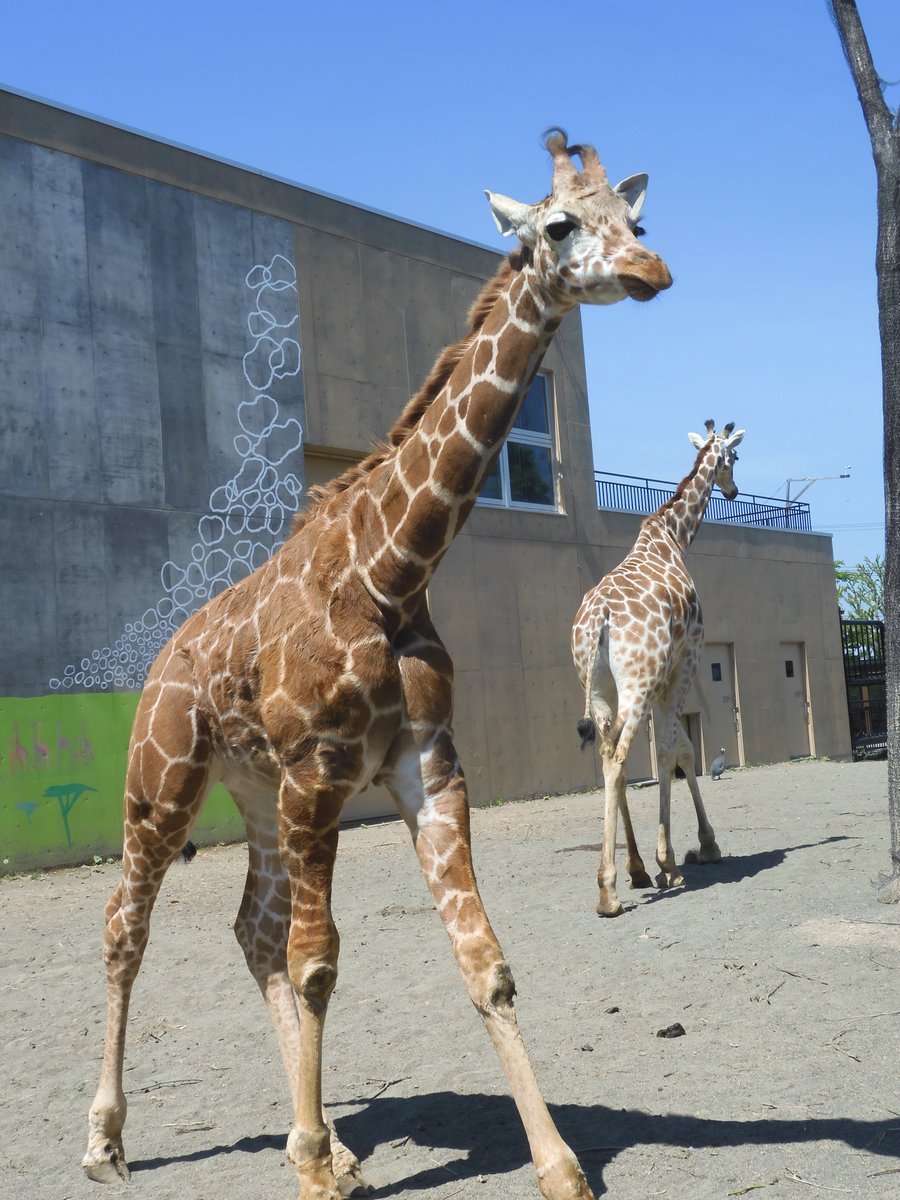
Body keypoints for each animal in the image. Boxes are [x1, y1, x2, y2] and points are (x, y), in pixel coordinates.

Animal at [84, 131, 672, 1200]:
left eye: (639, 219)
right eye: (561, 225)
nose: (652, 271)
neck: (389, 571)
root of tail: (158, 663)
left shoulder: (426, 765)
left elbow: (483, 961)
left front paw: (559, 1165)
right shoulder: (322, 768)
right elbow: (321, 961)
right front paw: (316, 1173)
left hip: (257, 790)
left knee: (251, 930)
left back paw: (321, 1139)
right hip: (164, 782)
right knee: (128, 927)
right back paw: (108, 1141)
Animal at [571, 422, 748, 916]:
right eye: (735, 459)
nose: (733, 490)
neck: (671, 535)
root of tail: (598, 620)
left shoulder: (658, 679)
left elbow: (672, 752)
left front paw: (658, 863)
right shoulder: (685, 662)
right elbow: (677, 752)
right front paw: (689, 853)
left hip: (600, 689)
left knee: (608, 753)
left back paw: (631, 871)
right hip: (636, 683)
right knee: (619, 759)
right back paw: (608, 891)